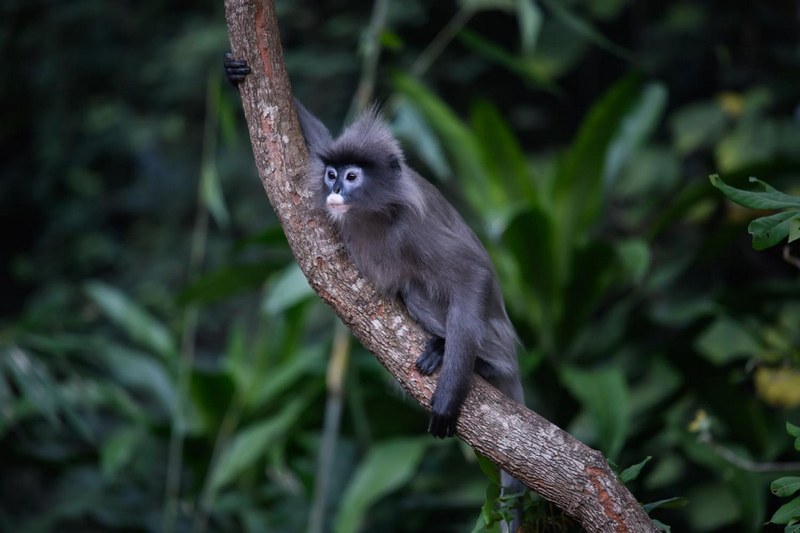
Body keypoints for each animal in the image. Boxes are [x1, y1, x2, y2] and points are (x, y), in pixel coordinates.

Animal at [225, 53, 524, 524]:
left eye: (351, 176)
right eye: (331, 173)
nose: (333, 188)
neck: (372, 215)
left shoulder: (413, 229)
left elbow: (474, 275)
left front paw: (449, 397)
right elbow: (315, 139)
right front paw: (236, 72)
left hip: (494, 339)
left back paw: (464, 358)